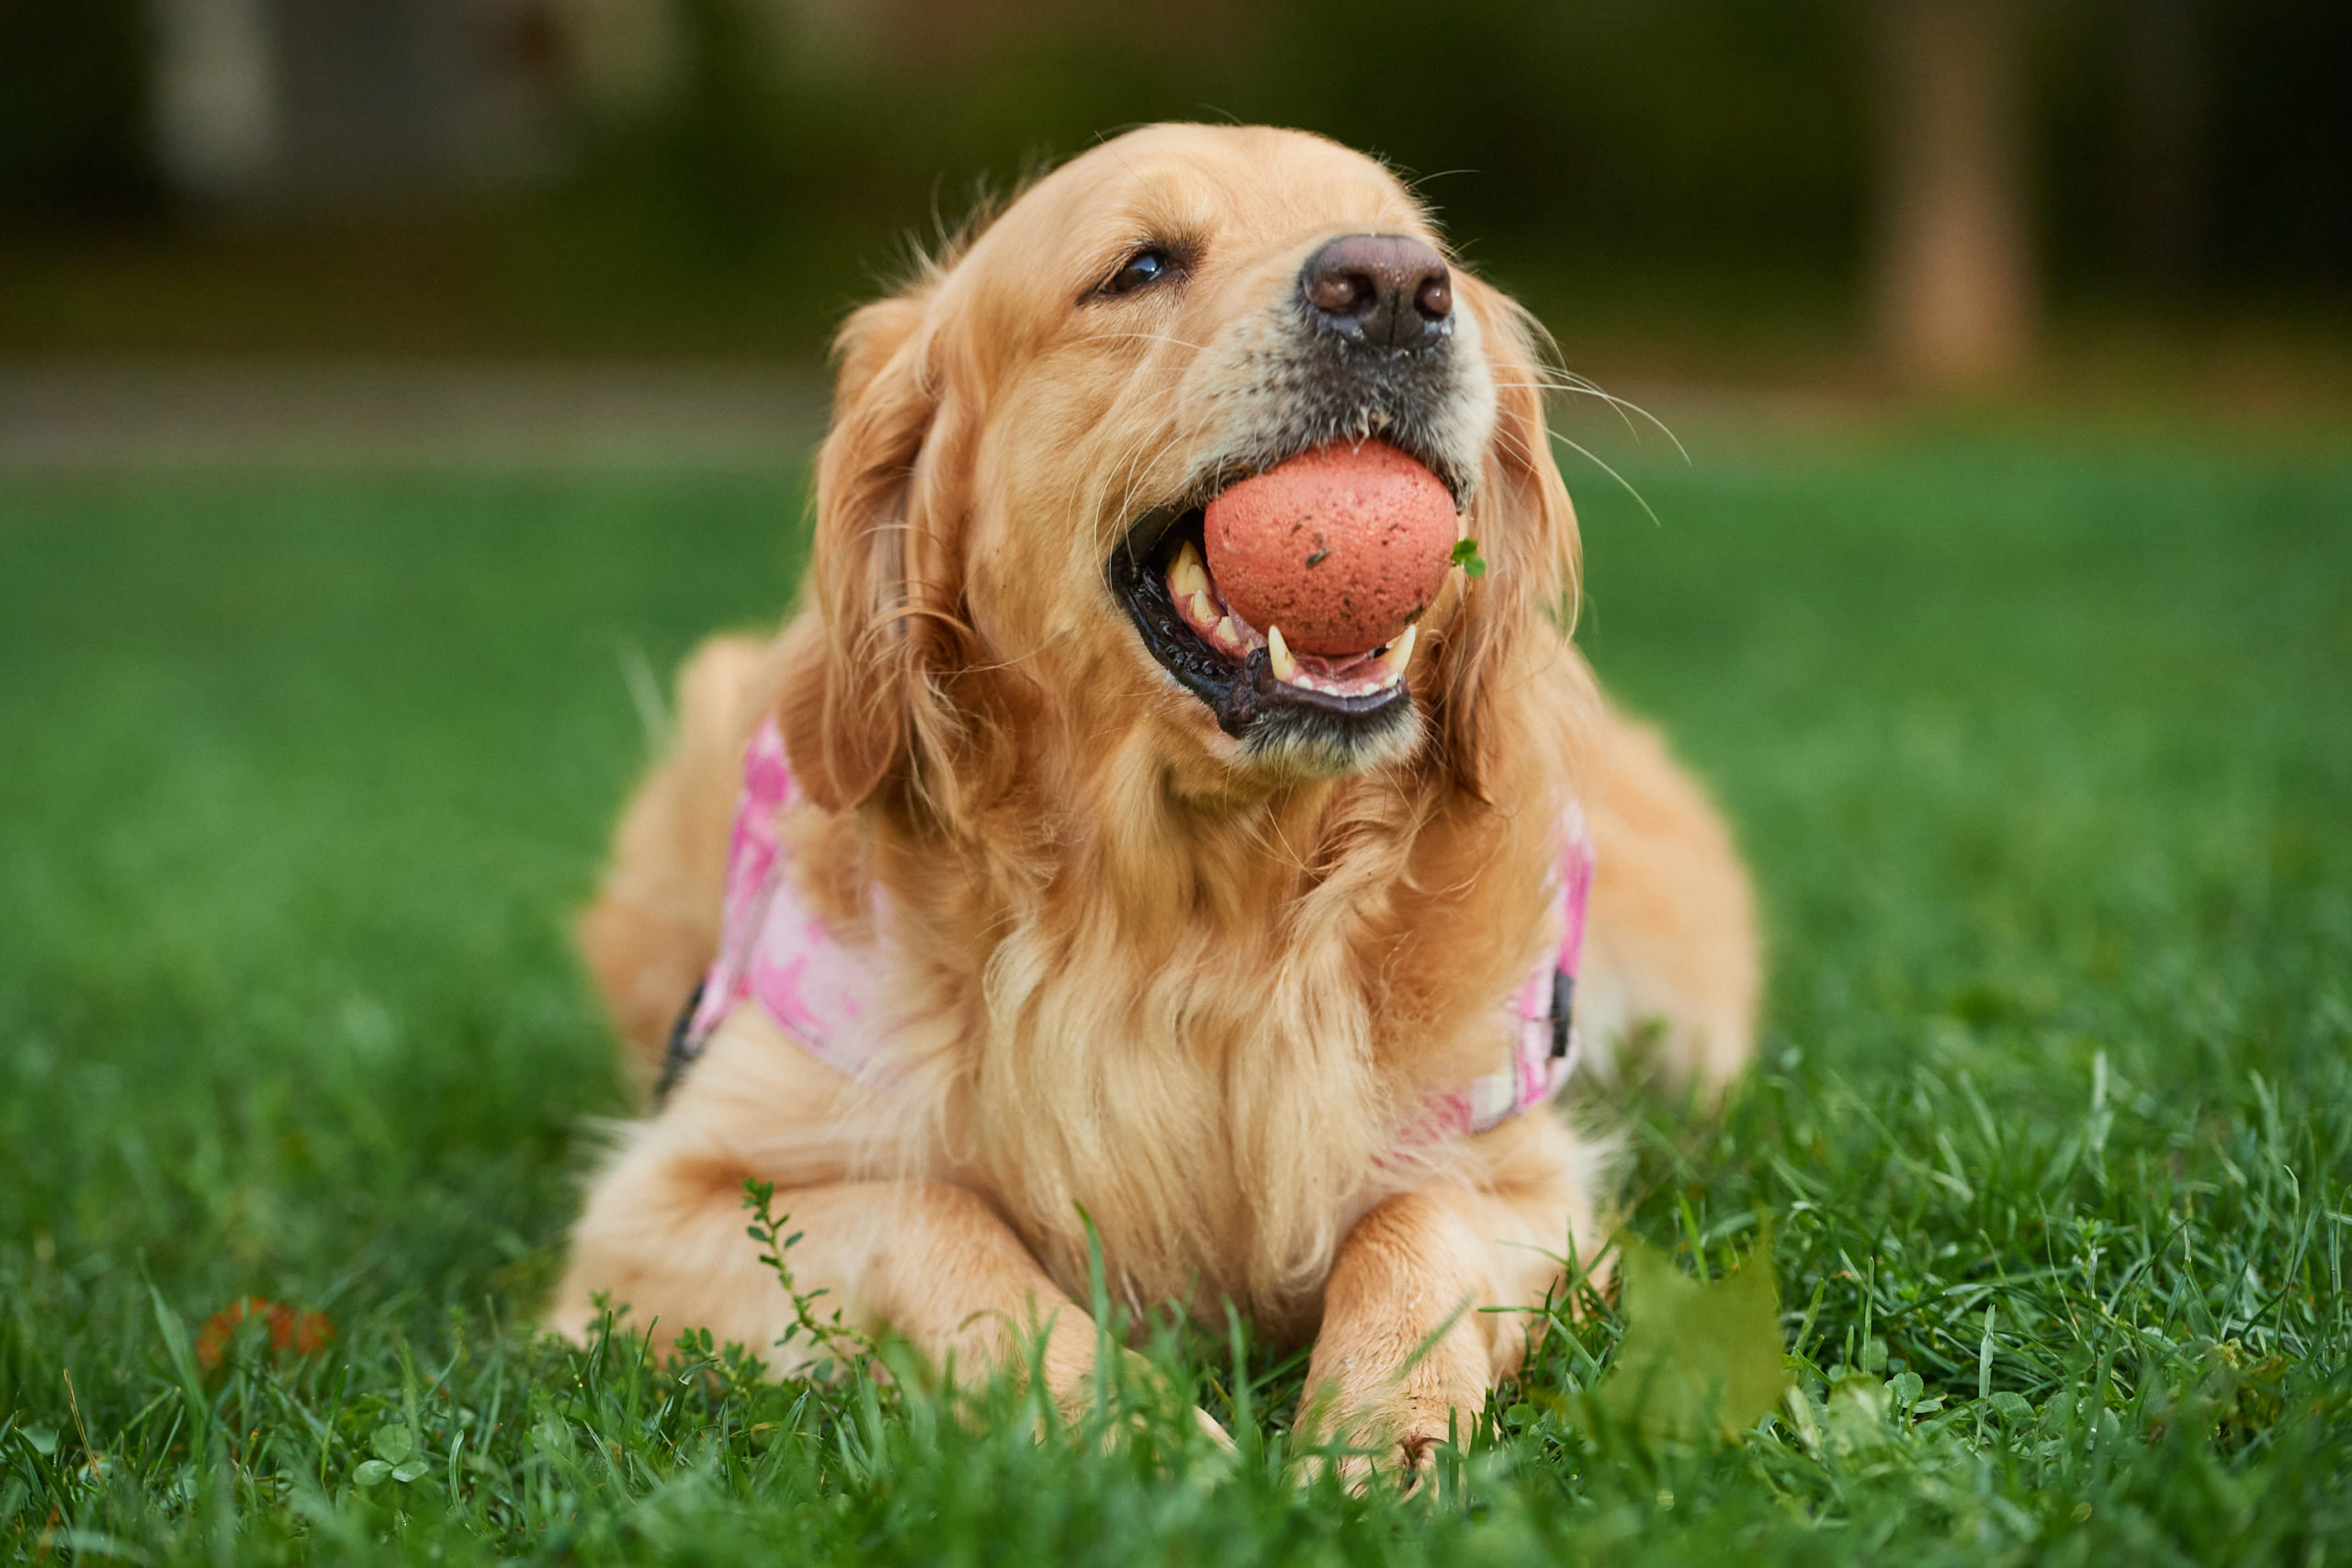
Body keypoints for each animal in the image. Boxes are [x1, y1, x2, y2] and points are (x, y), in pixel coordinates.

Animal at [550, 119, 1758, 1476]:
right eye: (1138, 267)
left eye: (1431, 255)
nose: (1398, 288)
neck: (1193, 920)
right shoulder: (662, 1206)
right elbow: (936, 1224)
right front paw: (1133, 1434)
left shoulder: (1524, 1180)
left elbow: (1416, 1226)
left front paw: (1375, 1433)